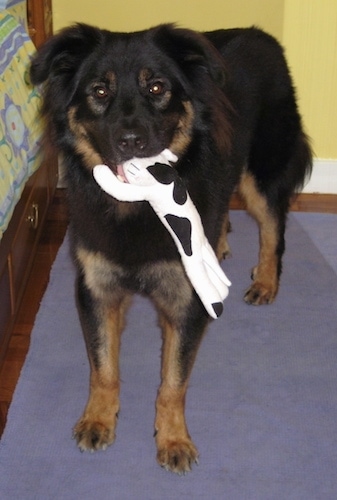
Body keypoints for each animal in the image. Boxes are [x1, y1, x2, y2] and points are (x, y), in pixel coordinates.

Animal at [30, 23, 312, 474]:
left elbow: (173, 381)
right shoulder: (96, 288)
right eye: (99, 90)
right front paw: (98, 419)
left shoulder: (186, 299)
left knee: (274, 231)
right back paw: (220, 244)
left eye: (157, 87)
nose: (131, 141)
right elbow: (103, 366)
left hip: (261, 176)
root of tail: (261, 34)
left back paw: (266, 282)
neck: (139, 206)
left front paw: (174, 439)